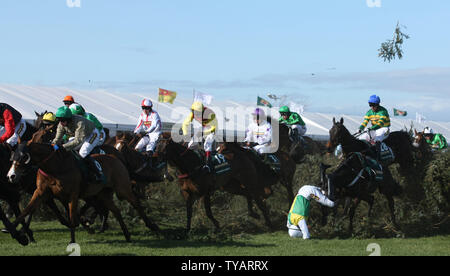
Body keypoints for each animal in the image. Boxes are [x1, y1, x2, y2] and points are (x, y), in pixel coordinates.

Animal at [7, 142, 160, 244]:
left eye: (23, 157)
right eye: (12, 157)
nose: (11, 176)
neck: (56, 167)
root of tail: (117, 158)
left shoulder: (72, 194)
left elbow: (72, 217)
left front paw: (73, 241)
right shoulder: (41, 193)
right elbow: (26, 210)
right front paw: (12, 230)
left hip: (122, 188)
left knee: (136, 204)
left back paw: (152, 226)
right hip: (103, 194)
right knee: (115, 210)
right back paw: (126, 235)